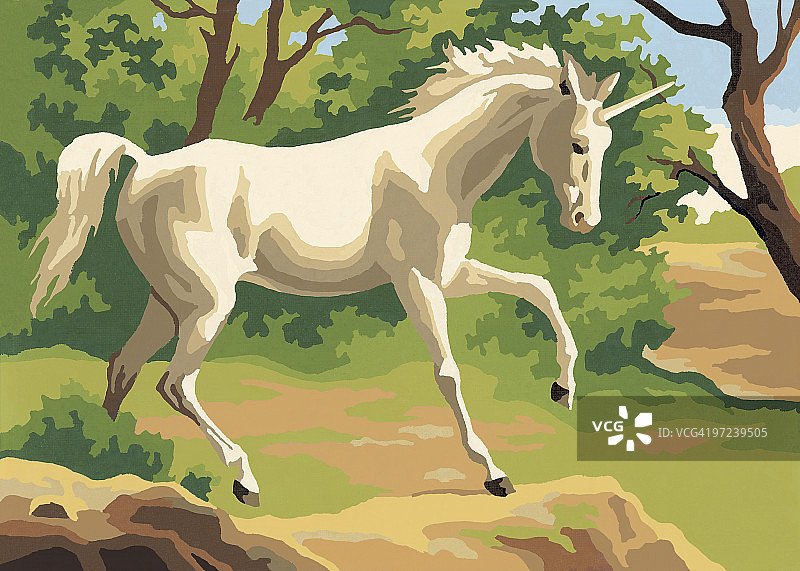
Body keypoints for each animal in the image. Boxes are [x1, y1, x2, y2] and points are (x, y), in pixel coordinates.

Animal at [30, 40, 672, 506]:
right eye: (578, 142)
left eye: (604, 143)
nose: (585, 220)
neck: (438, 166)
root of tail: (145, 165)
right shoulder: (417, 282)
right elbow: (448, 372)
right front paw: (494, 473)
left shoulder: (450, 273)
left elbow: (540, 289)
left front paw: (563, 387)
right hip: (209, 306)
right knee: (175, 383)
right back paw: (244, 481)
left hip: (168, 303)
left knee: (123, 369)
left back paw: (111, 456)